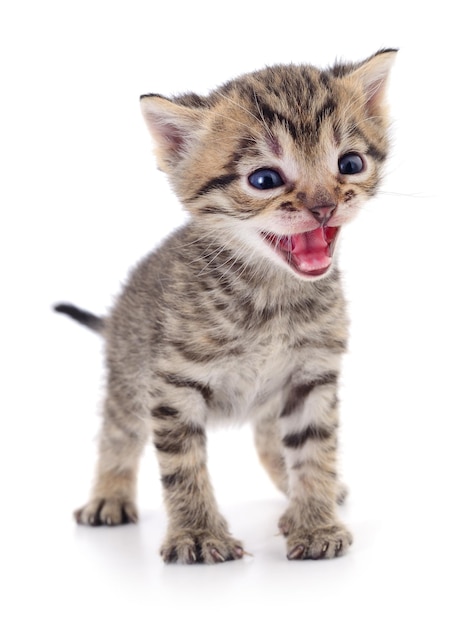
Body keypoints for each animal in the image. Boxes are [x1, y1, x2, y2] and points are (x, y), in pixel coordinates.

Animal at [57, 51, 398, 564]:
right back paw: (109, 495)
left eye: (350, 163)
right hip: (128, 376)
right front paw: (198, 534)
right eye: (264, 179)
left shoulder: (311, 375)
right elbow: (183, 466)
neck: (272, 295)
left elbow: (313, 449)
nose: (323, 206)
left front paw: (315, 521)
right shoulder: (172, 385)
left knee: (267, 440)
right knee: (118, 434)